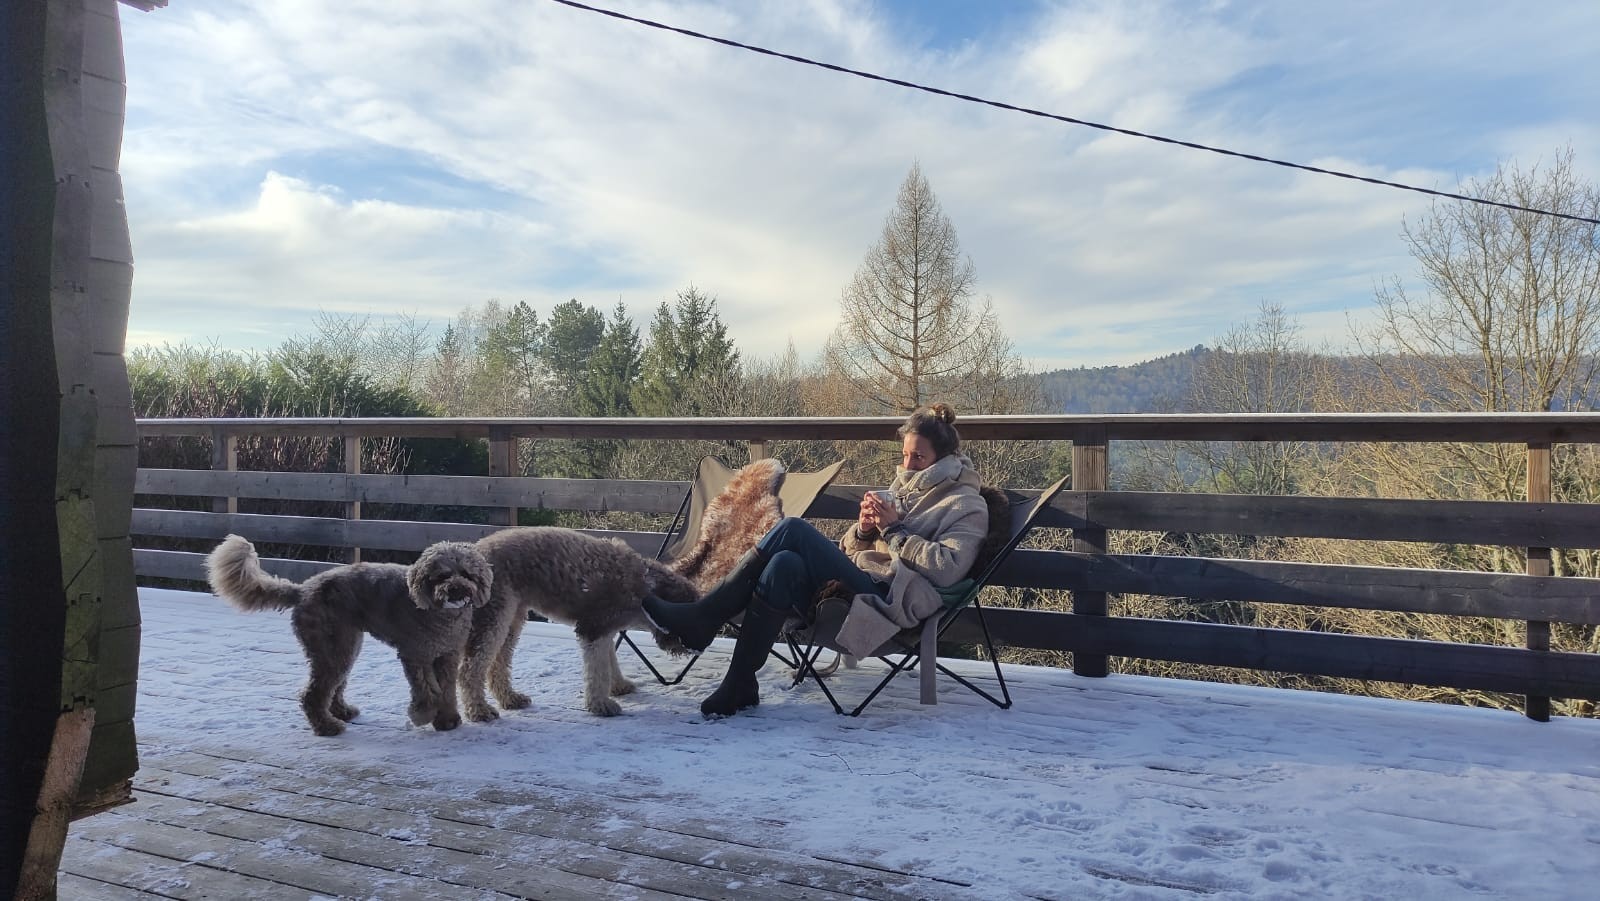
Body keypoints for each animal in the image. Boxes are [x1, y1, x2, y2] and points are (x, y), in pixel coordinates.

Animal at [206, 531, 492, 736]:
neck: (439, 612)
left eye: (467, 574)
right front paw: (422, 715)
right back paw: (327, 727)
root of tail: (303, 590)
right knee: (313, 694)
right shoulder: (416, 655)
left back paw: (341, 712)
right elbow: (427, 690)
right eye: (442, 575)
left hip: (344, 645)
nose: (457, 589)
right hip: (331, 647)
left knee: (332, 687)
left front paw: (448, 719)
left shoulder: (447, 655)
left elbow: (446, 690)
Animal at [457, 528, 694, 720]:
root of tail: (475, 554)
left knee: (496, 666)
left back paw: (510, 698)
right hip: (494, 617)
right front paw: (601, 705)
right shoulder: (594, 628)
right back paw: (479, 710)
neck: (644, 588)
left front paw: (618, 686)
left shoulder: (606, 630)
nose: (691, 649)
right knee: (470, 670)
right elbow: (598, 670)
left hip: (511, 619)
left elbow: (611, 661)